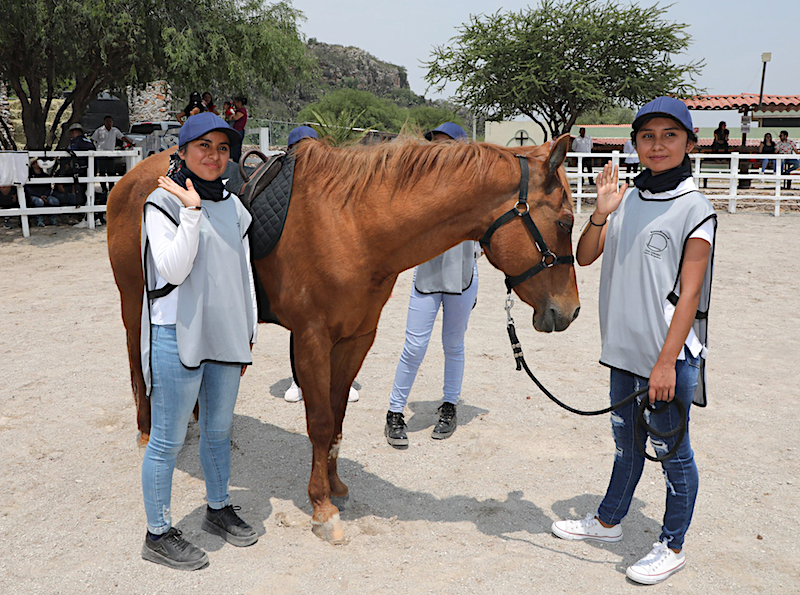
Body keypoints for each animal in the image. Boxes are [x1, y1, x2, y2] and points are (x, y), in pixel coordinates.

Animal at [108, 135, 580, 544]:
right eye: (564, 221)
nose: (570, 311)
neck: (354, 224)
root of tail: (132, 178)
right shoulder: (312, 339)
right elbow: (319, 423)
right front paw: (321, 508)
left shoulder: (356, 338)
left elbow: (336, 418)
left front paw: (335, 486)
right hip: (134, 300)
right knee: (136, 361)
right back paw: (147, 430)